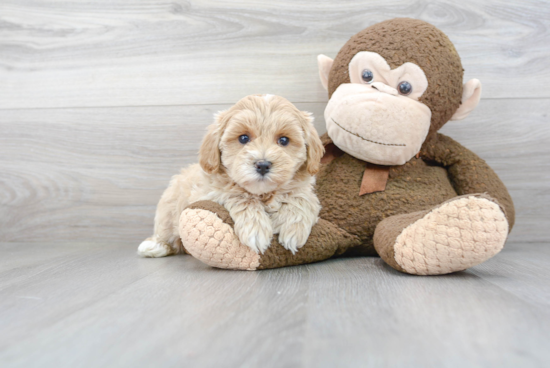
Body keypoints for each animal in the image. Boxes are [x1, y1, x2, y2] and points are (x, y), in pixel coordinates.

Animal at [138, 94, 326, 258]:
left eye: (284, 140)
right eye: (243, 138)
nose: (262, 165)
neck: (263, 194)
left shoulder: (304, 189)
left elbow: (302, 199)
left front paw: (293, 228)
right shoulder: (209, 193)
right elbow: (239, 196)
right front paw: (256, 230)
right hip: (168, 210)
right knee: (166, 232)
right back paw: (155, 245)